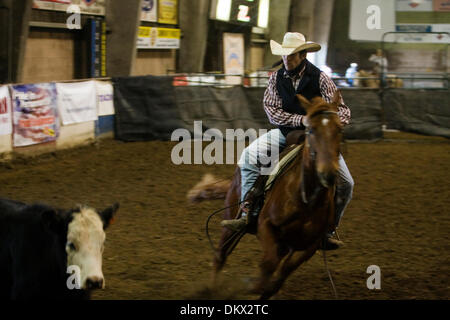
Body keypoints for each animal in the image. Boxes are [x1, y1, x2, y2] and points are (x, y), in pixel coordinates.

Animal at [188, 94, 342, 298]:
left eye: (339, 129)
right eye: (311, 130)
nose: (328, 174)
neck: (306, 199)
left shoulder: (310, 246)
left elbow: (279, 276)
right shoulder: (266, 226)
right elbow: (268, 264)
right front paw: (250, 287)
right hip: (232, 218)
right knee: (220, 255)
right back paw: (210, 289)